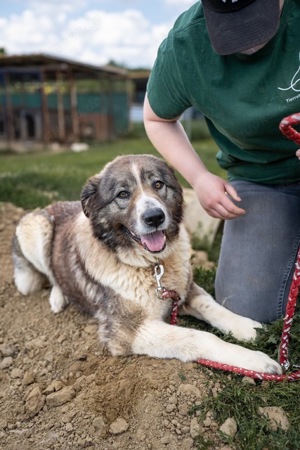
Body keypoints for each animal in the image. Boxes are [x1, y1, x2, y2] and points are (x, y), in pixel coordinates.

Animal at [12, 153, 282, 374]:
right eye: (122, 194)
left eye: (158, 184)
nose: (154, 217)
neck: (152, 267)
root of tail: (50, 205)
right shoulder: (127, 332)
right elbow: (200, 337)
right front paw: (256, 361)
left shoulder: (184, 290)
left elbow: (214, 308)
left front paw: (249, 328)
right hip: (36, 228)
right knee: (50, 272)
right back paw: (58, 297)